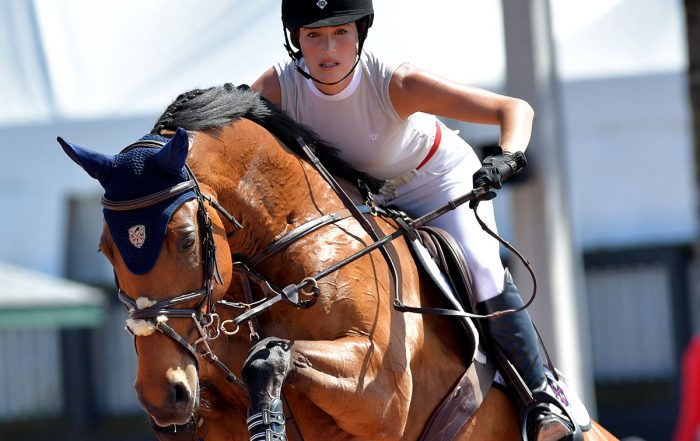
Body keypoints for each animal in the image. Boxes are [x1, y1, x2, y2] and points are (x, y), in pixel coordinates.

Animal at [60, 85, 616, 440]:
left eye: (184, 239)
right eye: (105, 250)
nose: (162, 394)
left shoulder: (380, 394)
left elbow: (270, 357)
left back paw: (551, 416)